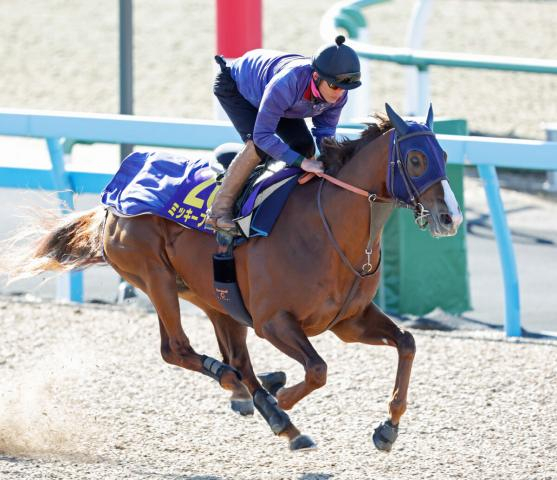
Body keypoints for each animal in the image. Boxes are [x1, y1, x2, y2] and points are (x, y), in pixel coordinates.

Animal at [1, 103, 460, 452]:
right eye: (416, 159)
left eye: (444, 156)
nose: (450, 218)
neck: (328, 230)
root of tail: (112, 199)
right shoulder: (273, 322)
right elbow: (318, 368)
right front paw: (286, 397)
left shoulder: (349, 321)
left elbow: (407, 342)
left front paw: (388, 428)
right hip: (156, 279)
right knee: (179, 350)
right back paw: (255, 394)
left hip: (212, 298)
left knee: (235, 358)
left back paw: (269, 407)